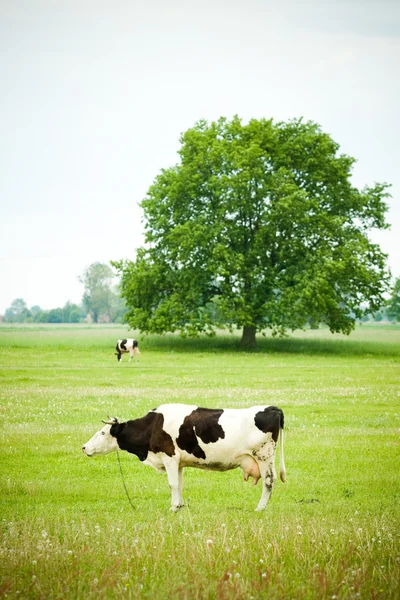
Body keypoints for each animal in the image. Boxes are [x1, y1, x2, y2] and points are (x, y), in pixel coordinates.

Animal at [82, 404, 288, 510]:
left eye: (102, 433)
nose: (84, 447)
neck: (153, 425)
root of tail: (271, 408)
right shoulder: (179, 462)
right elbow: (179, 484)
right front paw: (180, 505)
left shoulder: (169, 456)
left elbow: (172, 484)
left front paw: (173, 507)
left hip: (264, 455)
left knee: (269, 481)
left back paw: (260, 508)